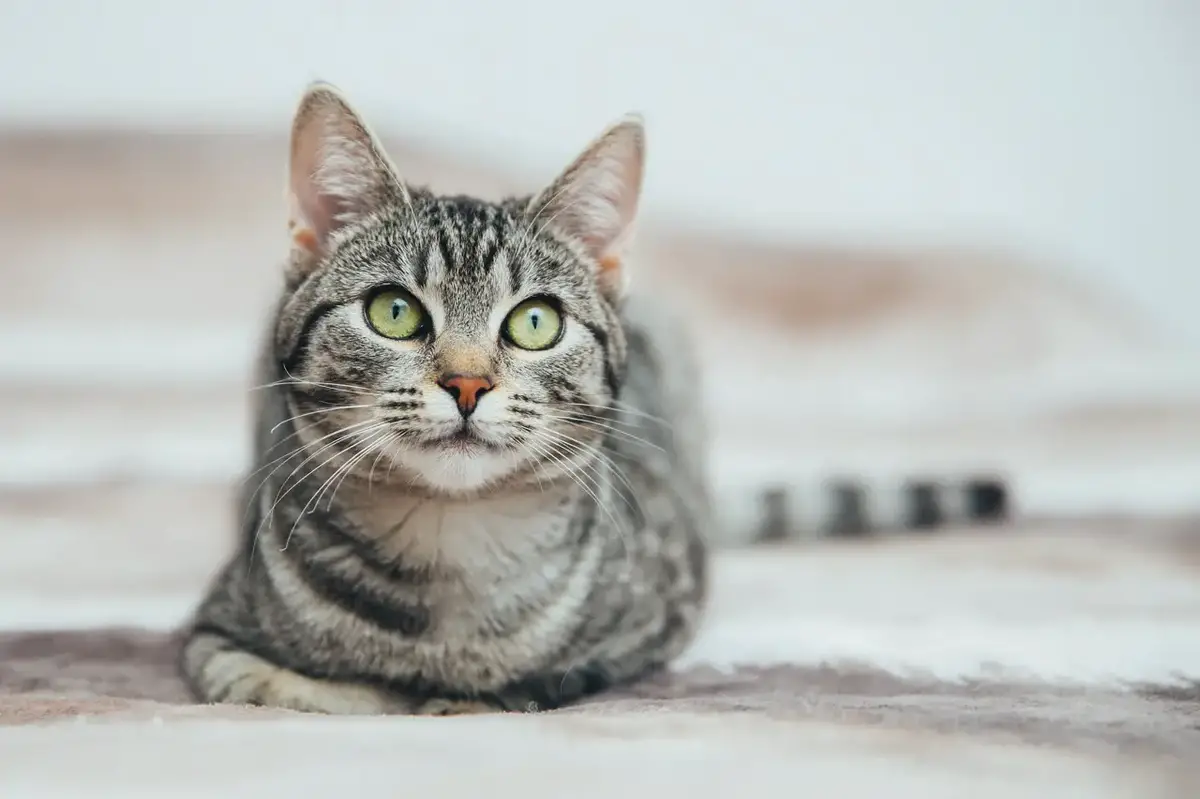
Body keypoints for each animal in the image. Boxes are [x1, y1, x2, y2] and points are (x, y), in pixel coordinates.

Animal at [177, 82, 710, 715]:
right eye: (393, 312)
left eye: (536, 322)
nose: (467, 383)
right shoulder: (214, 627)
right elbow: (270, 683)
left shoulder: (663, 614)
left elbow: (540, 682)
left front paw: (457, 698)